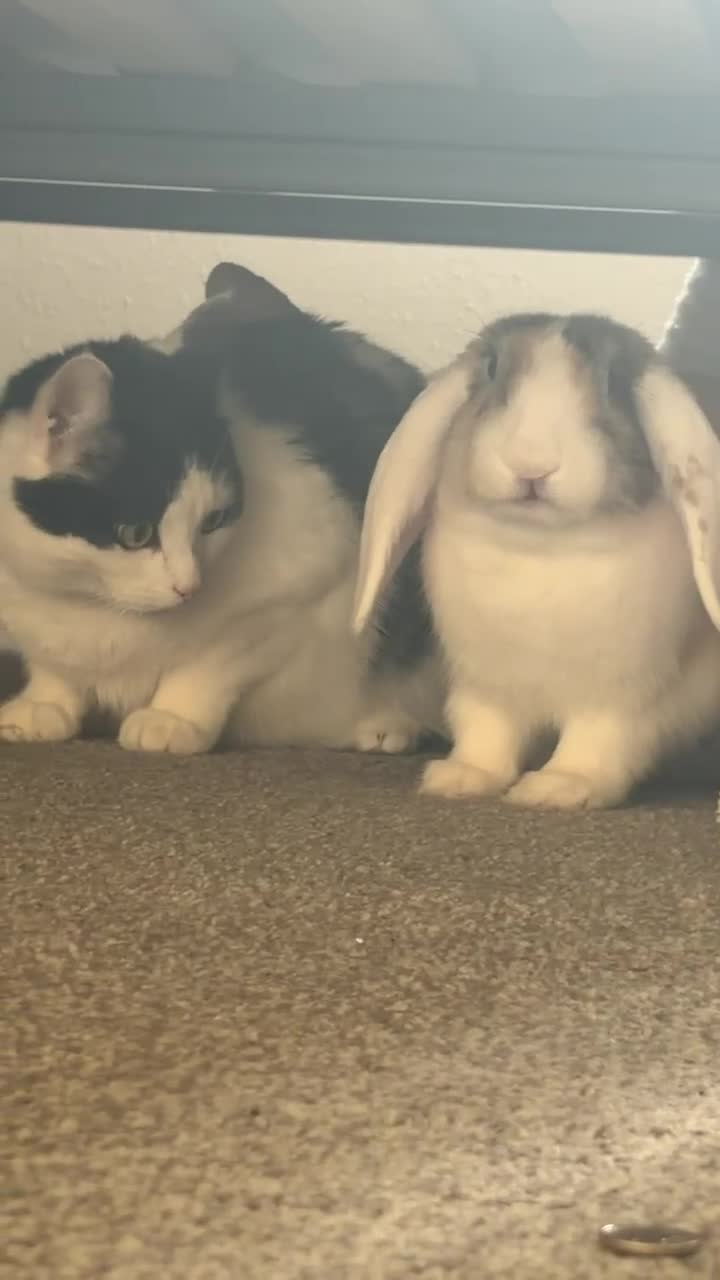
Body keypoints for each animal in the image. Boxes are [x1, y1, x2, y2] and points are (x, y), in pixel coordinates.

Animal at [353, 312, 720, 809]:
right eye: (491, 368)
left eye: (614, 380)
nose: (531, 463)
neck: (541, 546)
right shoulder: (484, 686)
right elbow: (486, 734)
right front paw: (461, 778)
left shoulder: (618, 697)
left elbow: (597, 742)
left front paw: (559, 788)